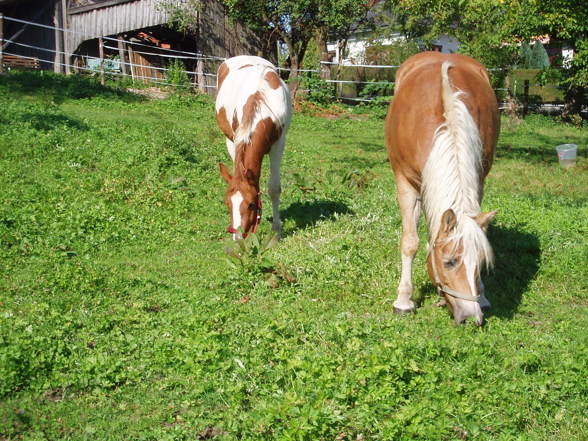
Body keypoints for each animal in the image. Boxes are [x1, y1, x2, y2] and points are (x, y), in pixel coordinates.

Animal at [215, 57, 290, 241]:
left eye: (250, 204)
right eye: (227, 203)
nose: (238, 238)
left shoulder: (278, 146)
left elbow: (274, 189)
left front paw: (276, 231)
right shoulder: (236, 139)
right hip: (229, 140)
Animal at [386, 53, 500, 324]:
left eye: (481, 263)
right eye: (449, 262)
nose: (471, 317)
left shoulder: (479, 180)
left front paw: (483, 295)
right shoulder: (405, 184)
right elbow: (410, 242)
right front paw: (403, 301)